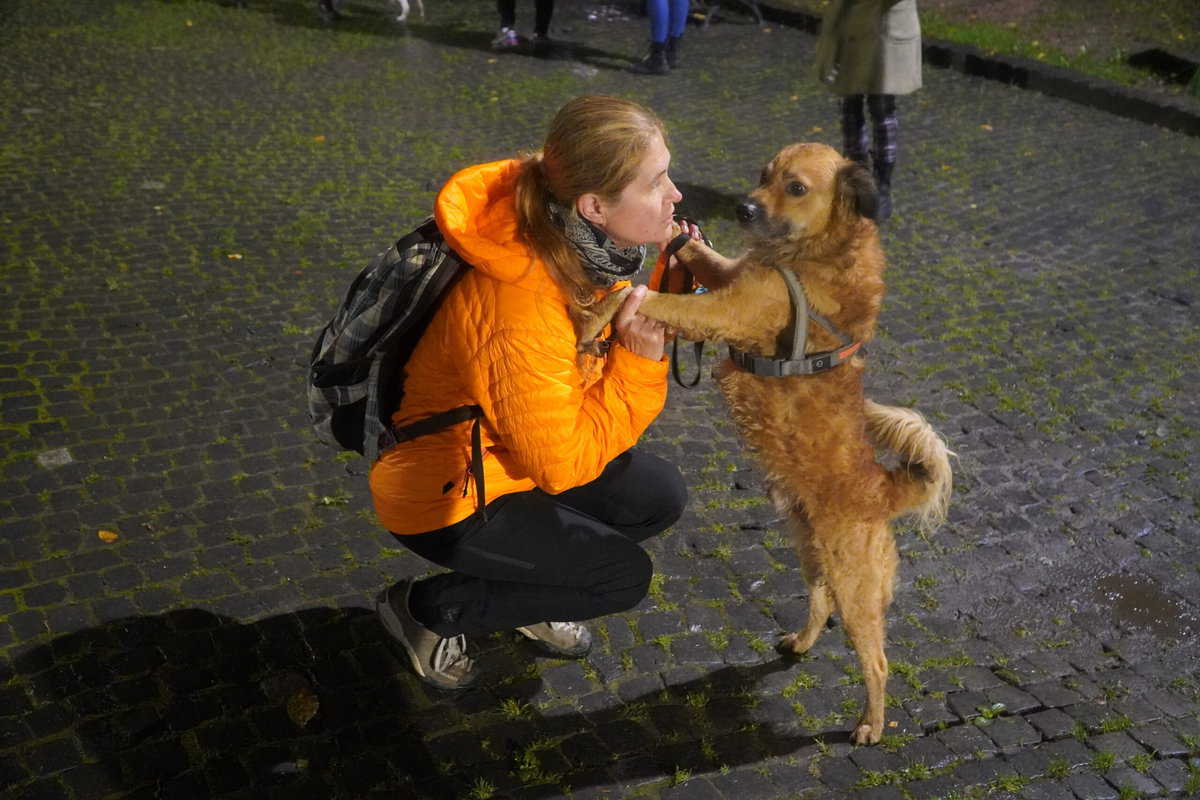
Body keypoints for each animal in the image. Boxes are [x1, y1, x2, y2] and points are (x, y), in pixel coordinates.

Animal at [576, 142, 950, 743]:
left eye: (795, 187)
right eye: (762, 175)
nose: (744, 209)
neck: (812, 249)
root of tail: (885, 489)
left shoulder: (724, 308)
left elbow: (639, 292)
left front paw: (593, 319)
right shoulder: (729, 278)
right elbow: (699, 254)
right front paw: (674, 232)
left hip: (855, 582)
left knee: (876, 660)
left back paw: (871, 724)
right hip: (811, 550)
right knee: (819, 601)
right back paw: (801, 642)